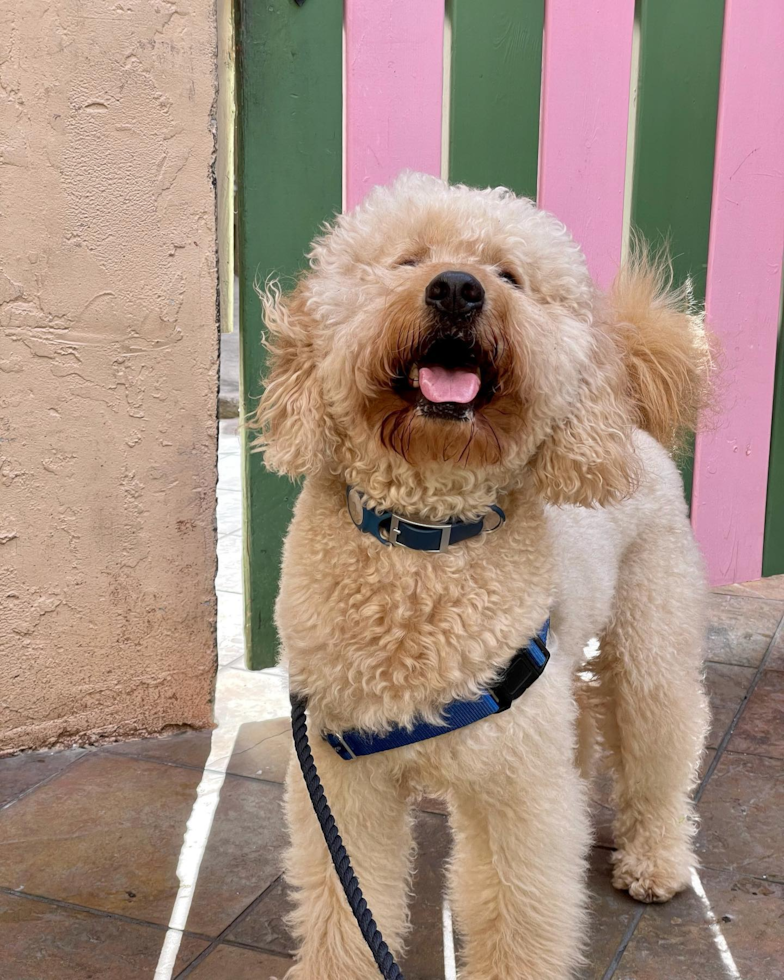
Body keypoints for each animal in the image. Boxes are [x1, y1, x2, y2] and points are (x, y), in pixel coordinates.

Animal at [251, 176, 712, 980]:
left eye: (509, 276)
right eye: (408, 261)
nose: (458, 288)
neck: (426, 538)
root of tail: (633, 424)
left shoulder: (513, 793)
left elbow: (518, 917)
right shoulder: (343, 778)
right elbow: (346, 904)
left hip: (650, 641)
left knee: (661, 743)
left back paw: (655, 859)